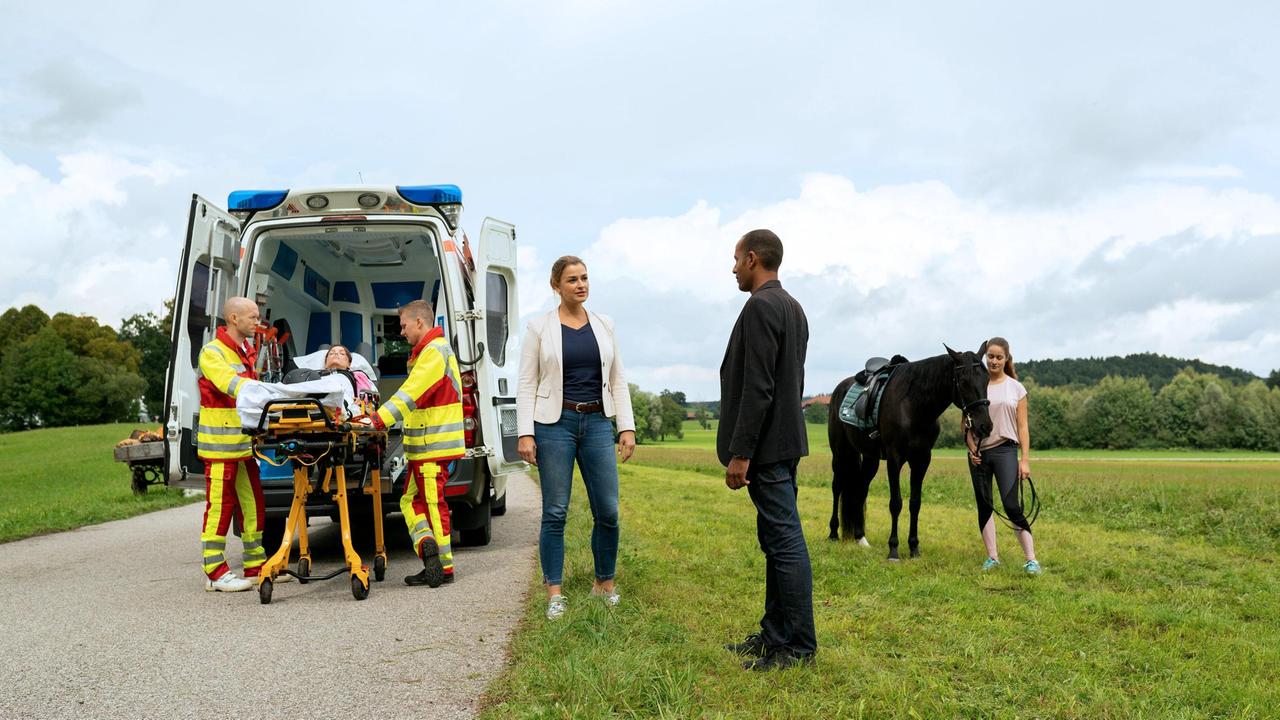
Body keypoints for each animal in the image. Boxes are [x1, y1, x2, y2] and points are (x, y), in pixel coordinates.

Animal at [824, 345, 993, 558]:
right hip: (840, 453)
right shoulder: (894, 459)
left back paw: (860, 537)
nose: (985, 426)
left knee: (860, 490)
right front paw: (893, 549)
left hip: (870, 458)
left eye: (986, 379)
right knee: (837, 487)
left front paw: (914, 548)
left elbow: (915, 503)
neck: (914, 405)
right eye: (964, 381)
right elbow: (896, 503)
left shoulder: (922, 460)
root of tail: (840, 388)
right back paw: (833, 533)